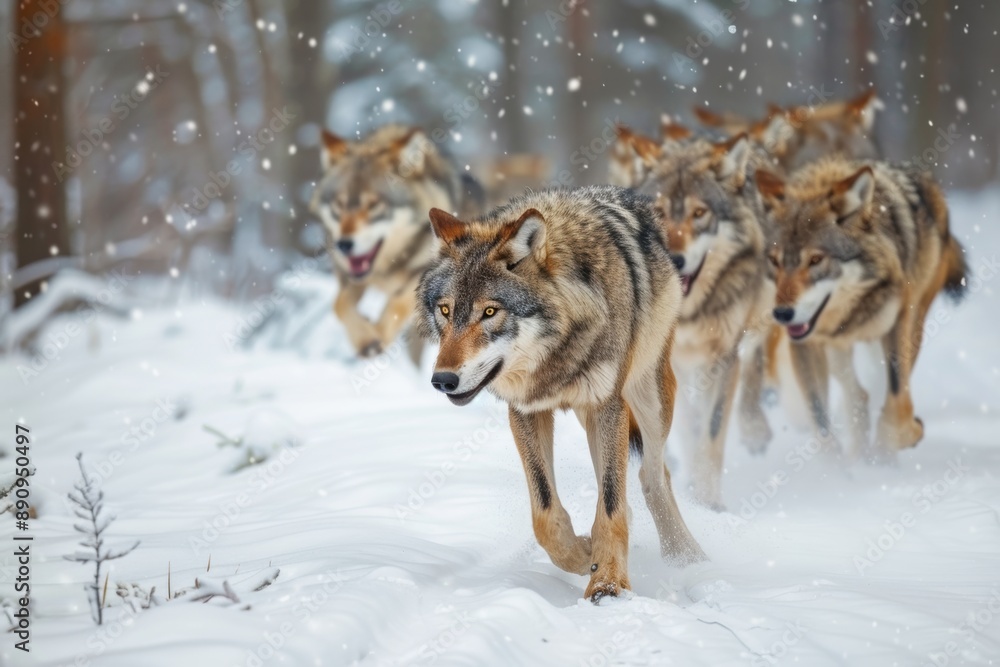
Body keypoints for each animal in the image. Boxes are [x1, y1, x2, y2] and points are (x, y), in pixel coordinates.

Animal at [310, 125, 482, 360]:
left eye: (374, 205)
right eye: (340, 204)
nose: (343, 245)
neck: (388, 268)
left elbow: (397, 306)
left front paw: (378, 336)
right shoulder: (349, 275)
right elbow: (340, 304)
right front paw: (365, 337)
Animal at [416, 186, 705, 602]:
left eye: (490, 312)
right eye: (445, 310)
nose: (443, 379)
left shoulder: (608, 404)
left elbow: (612, 505)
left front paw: (608, 584)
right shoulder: (525, 411)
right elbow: (545, 513)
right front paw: (584, 555)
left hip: (648, 397)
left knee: (651, 476)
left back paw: (687, 557)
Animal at [755, 158, 967, 457]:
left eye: (816, 260)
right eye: (775, 261)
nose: (782, 314)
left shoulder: (898, 324)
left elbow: (896, 401)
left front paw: (892, 447)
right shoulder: (805, 343)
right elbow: (819, 419)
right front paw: (838, 466)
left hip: (914, 323)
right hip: (836, 350)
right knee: (858, 395)